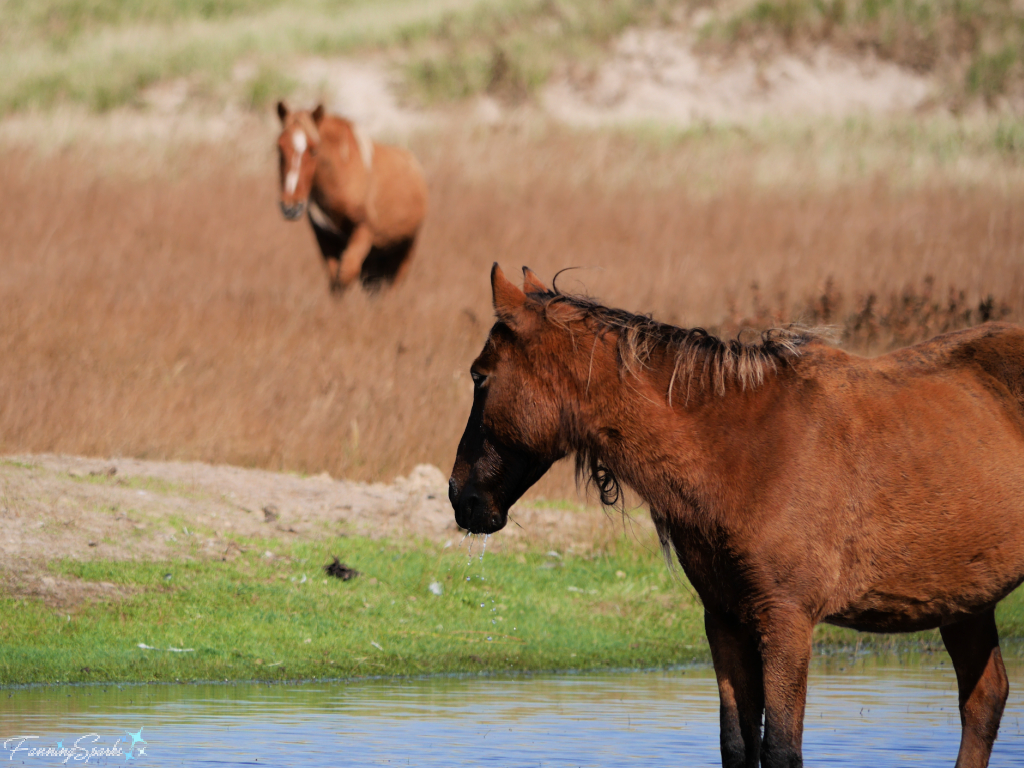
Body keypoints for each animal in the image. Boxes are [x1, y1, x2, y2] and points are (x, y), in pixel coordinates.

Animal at [274, 102, 425, 294]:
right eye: (279, 147)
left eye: (313, 150)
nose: (290, 207)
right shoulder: (324, 238)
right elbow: (337, 281)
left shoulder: (364, 230)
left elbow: (346, 274)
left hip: (405, 251)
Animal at [450, 266, 1024, 768]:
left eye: (480, 376)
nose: (462, 497)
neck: (743, 453)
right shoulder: (724, 618)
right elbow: (737, 744)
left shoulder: (787, 620)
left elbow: (781, 749)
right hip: (964, 600)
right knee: (984, 700)